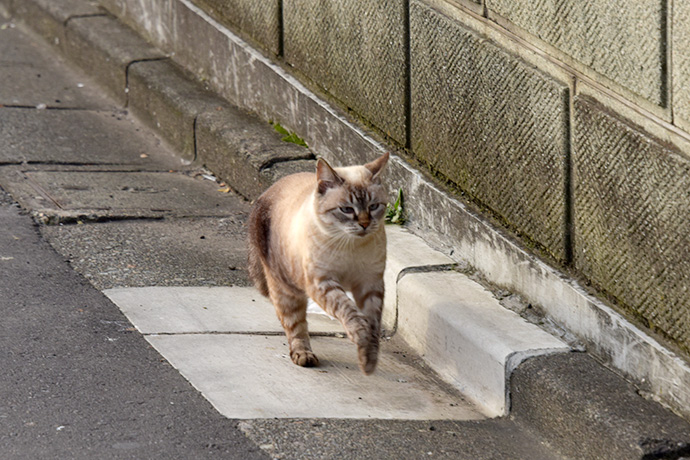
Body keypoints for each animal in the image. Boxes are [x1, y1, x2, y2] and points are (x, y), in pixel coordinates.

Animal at [247, 153, 390, 376]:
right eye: (346, 209)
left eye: (373, 206)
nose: (365, 224)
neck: (351, 246)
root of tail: (268, 190)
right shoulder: (323, 283)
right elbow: (348, 310)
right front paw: (359, 333)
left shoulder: (370, 285)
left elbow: (373, 324)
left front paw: (368, 359)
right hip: (287, 290)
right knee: (295, 325)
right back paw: (304, 355)